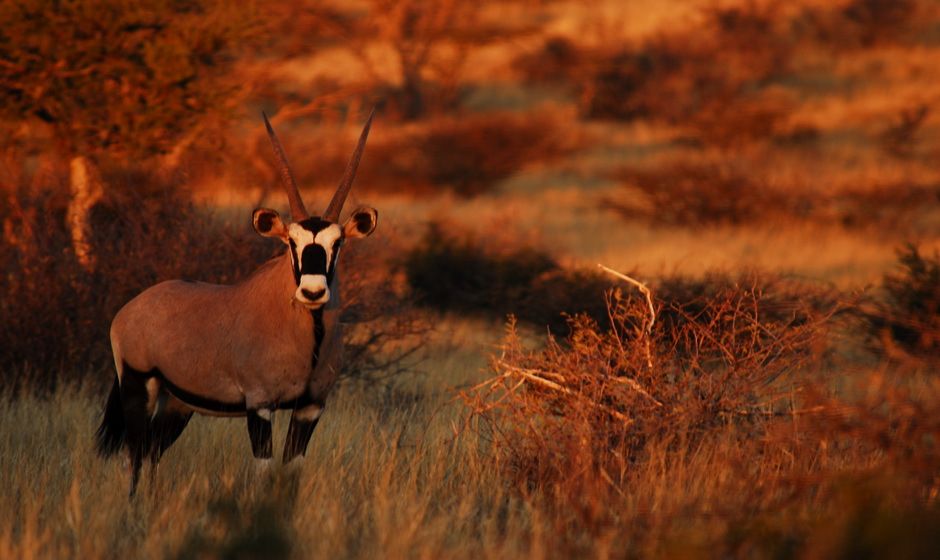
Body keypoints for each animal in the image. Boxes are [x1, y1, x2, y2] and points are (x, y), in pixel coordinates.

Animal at [93, 109, 376, 494]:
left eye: (339, 243)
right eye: (291, 242)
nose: (313, 292)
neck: (309, 337)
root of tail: (128, 310)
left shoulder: (310, 408)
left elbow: (291, 473)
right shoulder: (259, 405)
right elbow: (264, 472)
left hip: (177, 403)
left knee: (151, 451)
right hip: (139, 386)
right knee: (133, 456)